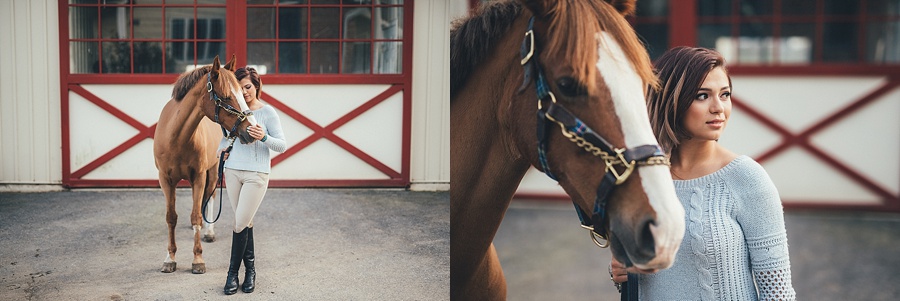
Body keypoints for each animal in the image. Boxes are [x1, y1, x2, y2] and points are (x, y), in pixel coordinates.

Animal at [153, 55, 255, 274]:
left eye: (242, 92)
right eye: (225, 97)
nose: (251, 130)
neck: (177, 138)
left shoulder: (198, 177)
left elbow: (196, 216)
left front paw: (198, 259)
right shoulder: (165, 180)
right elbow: (171, 217)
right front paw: (170, 258)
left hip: (213, 171)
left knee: (210, 196)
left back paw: (209, 232)